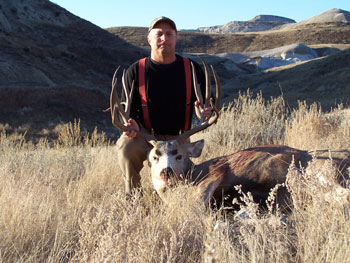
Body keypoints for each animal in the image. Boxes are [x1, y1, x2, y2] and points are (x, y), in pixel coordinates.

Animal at [108, 57, 350, 210]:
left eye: (179, 155)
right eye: (154, 156)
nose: (166, 172)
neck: (193, 174)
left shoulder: (212, 178)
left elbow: (196, 204)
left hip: (318, 171)